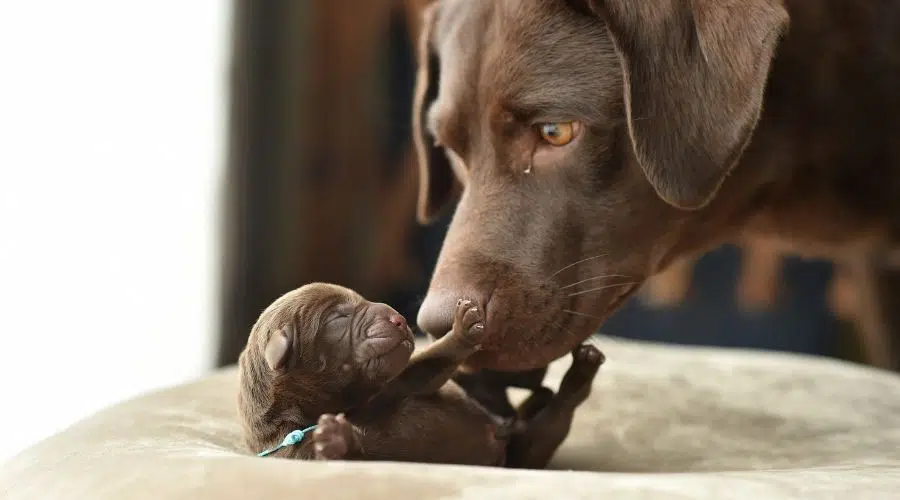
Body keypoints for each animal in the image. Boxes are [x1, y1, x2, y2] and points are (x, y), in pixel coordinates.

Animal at [239, 284, 604, 466]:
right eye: (338, 318)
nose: (399, 318)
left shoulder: (395, 385)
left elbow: (428, 367)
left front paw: (462, 331)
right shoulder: (293, 451)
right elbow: (353, 453)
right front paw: (335, 437)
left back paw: (571, 374)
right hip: (528, 451)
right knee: (554, 420)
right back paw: (577, 378)